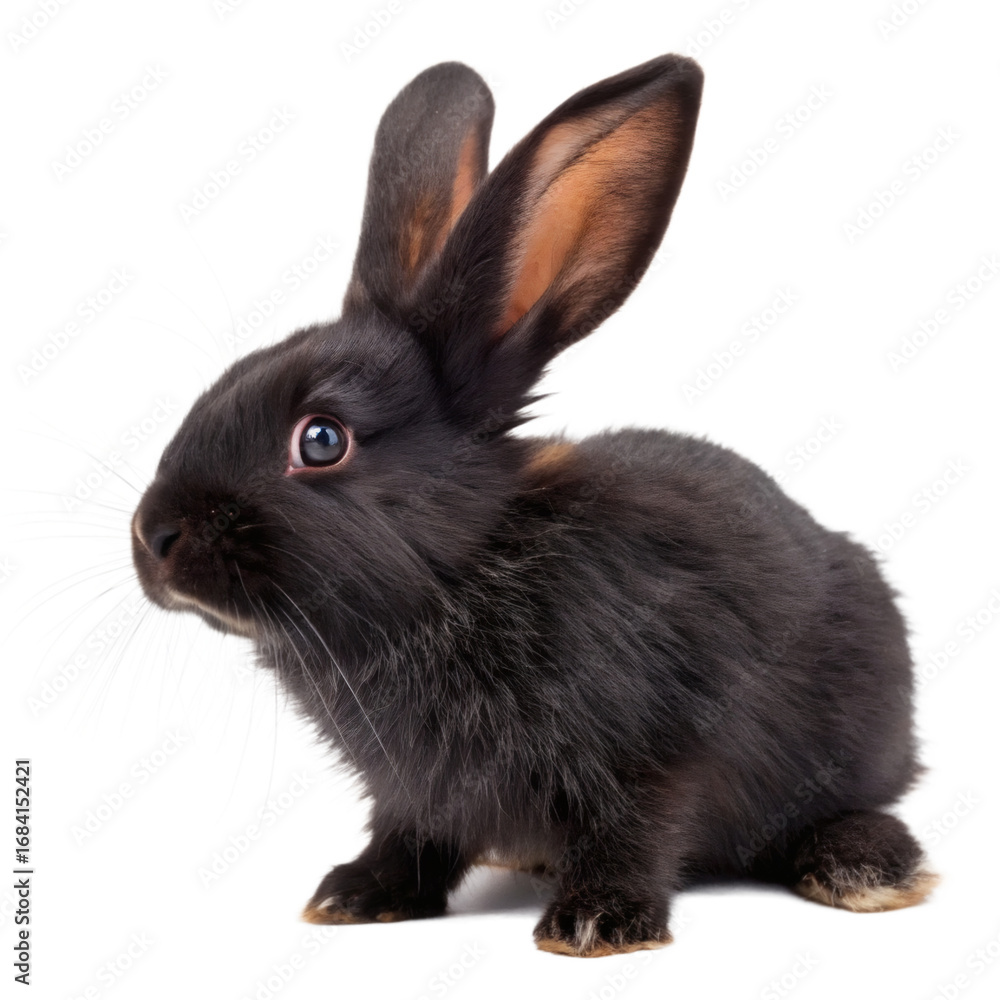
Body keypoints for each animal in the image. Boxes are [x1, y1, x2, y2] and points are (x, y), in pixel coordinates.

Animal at [131, 54, 937, 957]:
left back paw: (865, 866)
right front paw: (356, 895)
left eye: (322, 440)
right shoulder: (416, 794)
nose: (152, 535)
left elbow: (638, 830)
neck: (458, 580)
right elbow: (410, 836)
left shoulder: (657, 751)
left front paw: (596, 923)